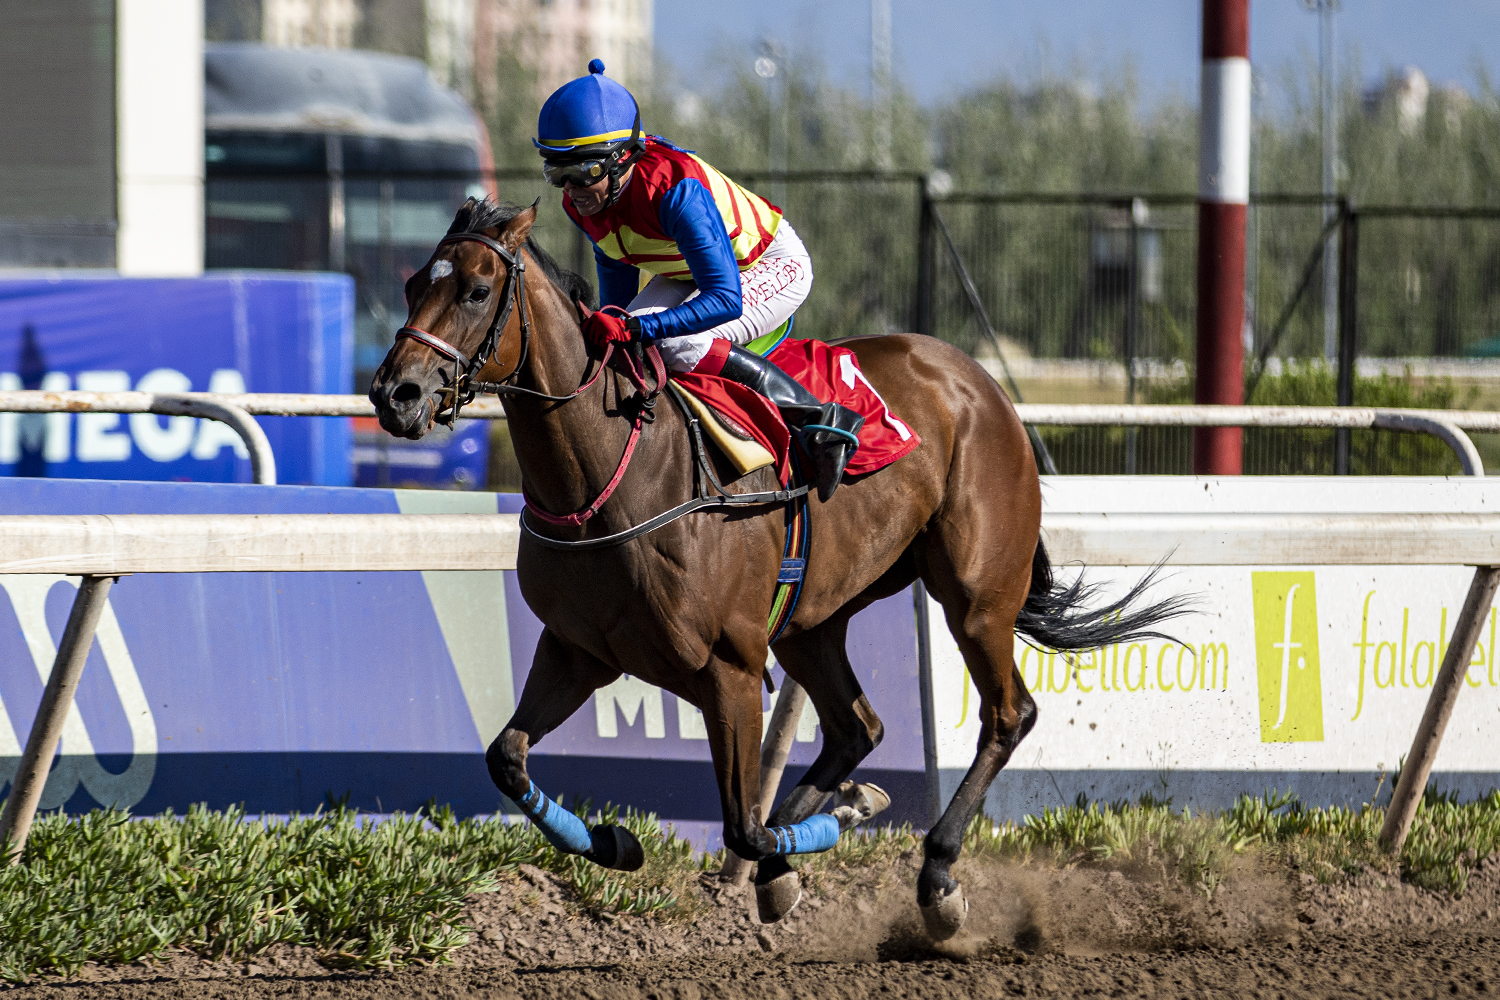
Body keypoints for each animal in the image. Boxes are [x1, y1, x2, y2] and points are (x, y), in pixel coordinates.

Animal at [369, 198, 1182, 939]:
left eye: (477, 291)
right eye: (410, 285)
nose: (394, 394)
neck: (612, 477)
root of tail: (978, 380)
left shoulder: (728, 666)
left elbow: (743, 825)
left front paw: (846, 817)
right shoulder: (579, 650)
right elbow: (506, 757)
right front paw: (616, 841)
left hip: (976, 594)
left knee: (1007, 714)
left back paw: (937, 875)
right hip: (811, 620)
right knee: (857, 728)